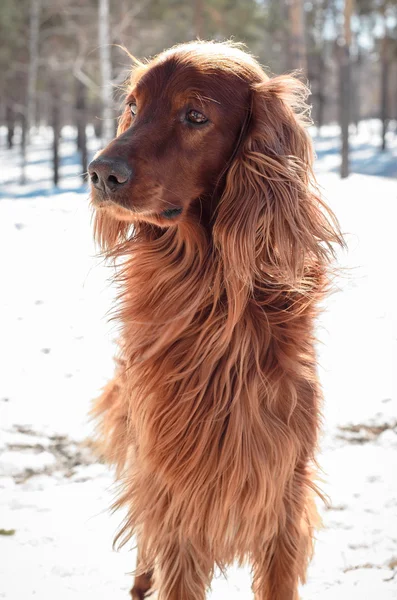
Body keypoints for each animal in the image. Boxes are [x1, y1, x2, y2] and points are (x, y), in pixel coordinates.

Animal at [88, 42, 342, 600]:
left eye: (196, 116)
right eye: (134, 107)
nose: (100, 173)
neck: (212, 298)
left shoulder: (282, 494)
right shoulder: (176, 492)